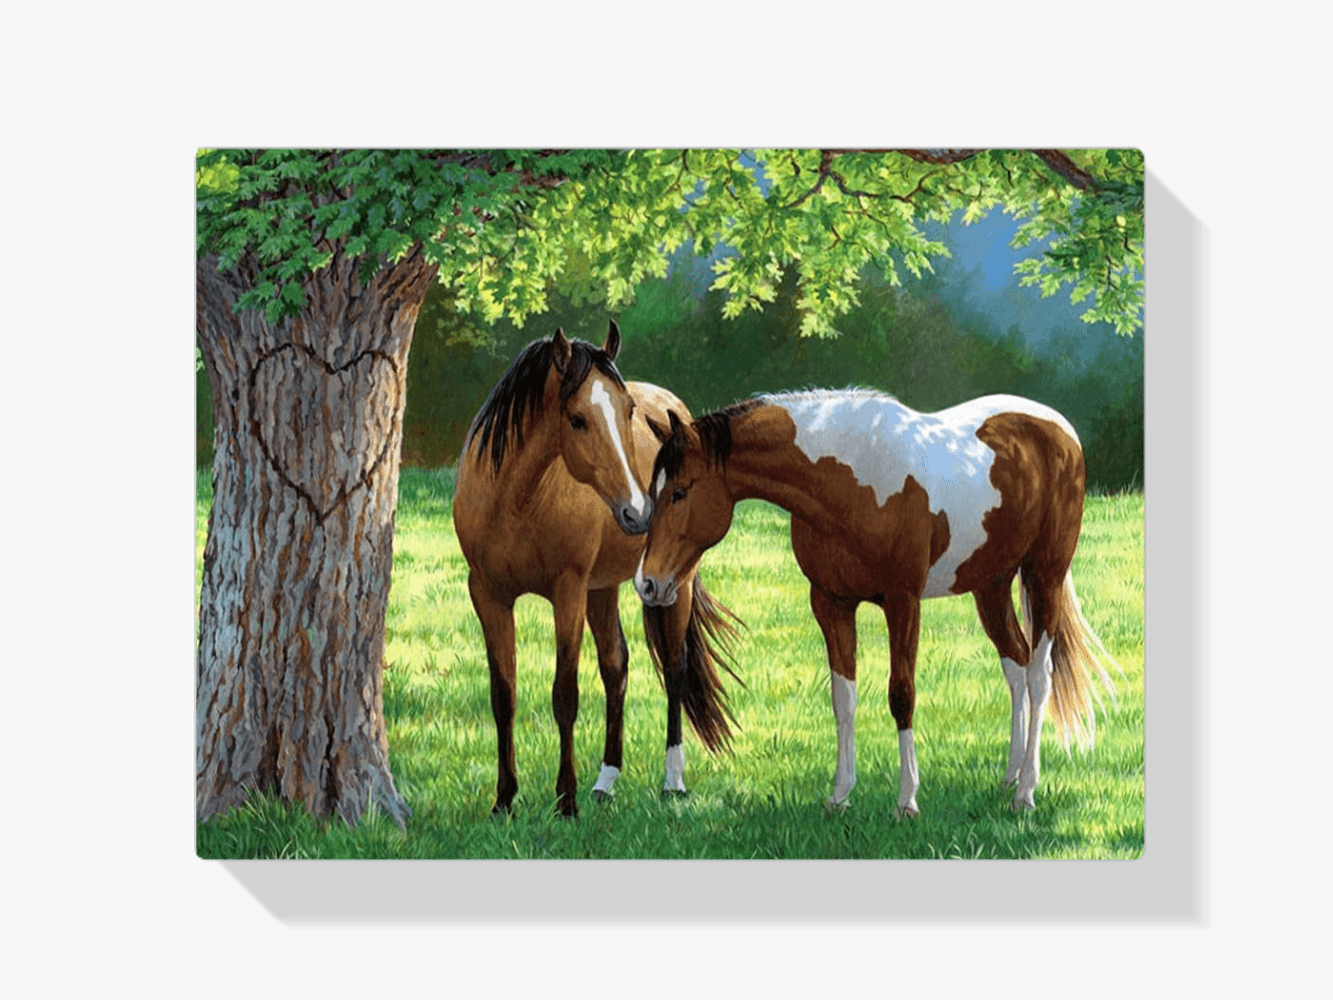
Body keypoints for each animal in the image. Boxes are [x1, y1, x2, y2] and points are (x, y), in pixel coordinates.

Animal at [452, 323, 740, 818]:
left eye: (628, 411)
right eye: (576, 419)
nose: (639, 512)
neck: (512, 502)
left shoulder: (568, 591)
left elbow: (564, 694)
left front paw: (565, 801)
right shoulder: (489, 595)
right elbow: (503, 695)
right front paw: (504, 800)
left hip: (673, 585)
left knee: (676, 668)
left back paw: (672, 781)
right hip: (602, 590)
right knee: (616, 665)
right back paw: (606, 780)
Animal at [635, 388, 1117, 816]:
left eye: (681, 491)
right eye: (653, 491)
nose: (648, 583)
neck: (851, 483)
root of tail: (1059, 429)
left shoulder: (902, 602)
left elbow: (901, 694)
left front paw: (907, 801)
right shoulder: (830, 603)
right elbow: (843, 698)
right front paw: (840, 795)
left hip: (1044, 575)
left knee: (1038, 675)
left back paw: (1026, 792)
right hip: (991, 585)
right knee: (1015, 665)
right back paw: (1010, 777)